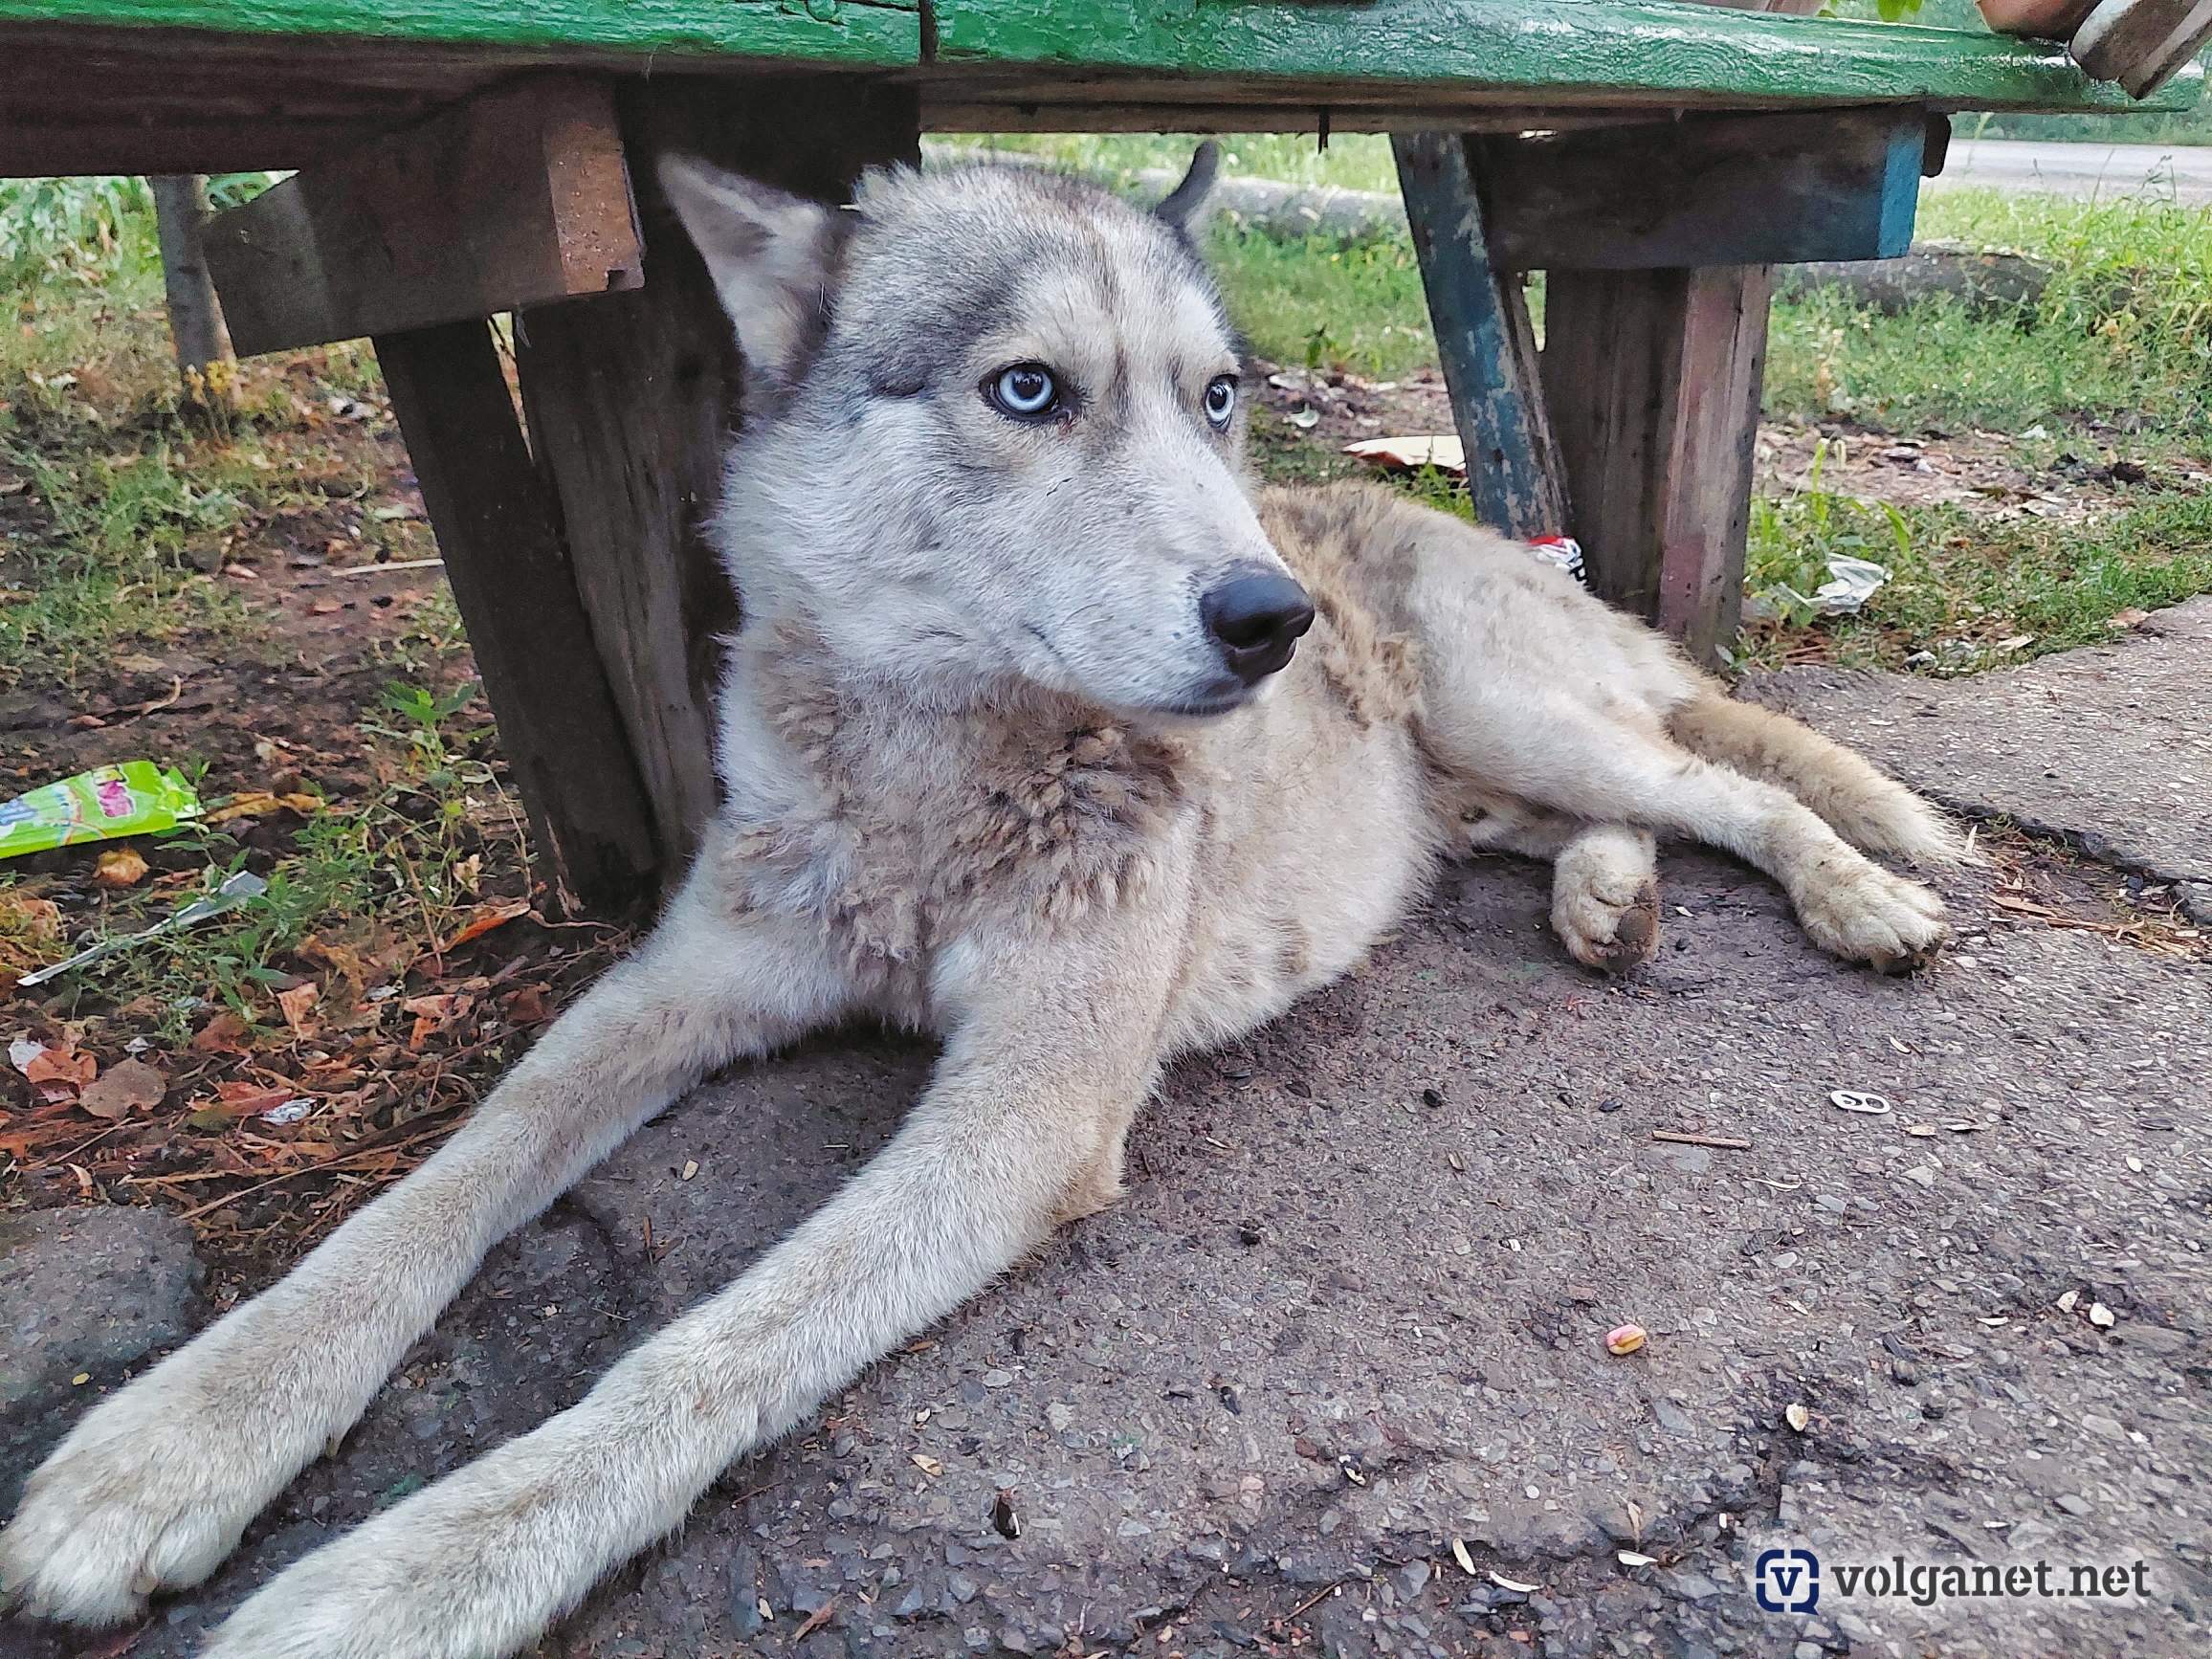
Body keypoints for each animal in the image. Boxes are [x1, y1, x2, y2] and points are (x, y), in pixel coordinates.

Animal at [4, 149, 1955, 1654]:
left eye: (1216, 395)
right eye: (1030, 390)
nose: (1271, 618)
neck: (937, 784)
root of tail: (1479, 536)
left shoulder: (1022, 1111)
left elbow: (701, 1352)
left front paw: (416, 1570)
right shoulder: (673, 985)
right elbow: (440, 1183)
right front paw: (176, 1437)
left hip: (1512, 710)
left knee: (1733, 782)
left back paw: (1863, 887)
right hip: (1481, 779)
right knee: (1592, 821)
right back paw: (1607, 905)